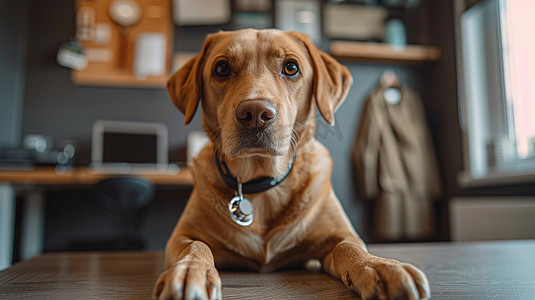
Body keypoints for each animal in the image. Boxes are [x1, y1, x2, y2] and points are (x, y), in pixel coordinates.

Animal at [152, 29, 432, 300]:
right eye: (221, 68)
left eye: (291, 67)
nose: (255, 114)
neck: (261, 182)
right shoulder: (181, 236)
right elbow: (196, 245)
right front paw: (190, 270)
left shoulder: (341, 235)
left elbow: (348, 247)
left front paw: (380, 267)